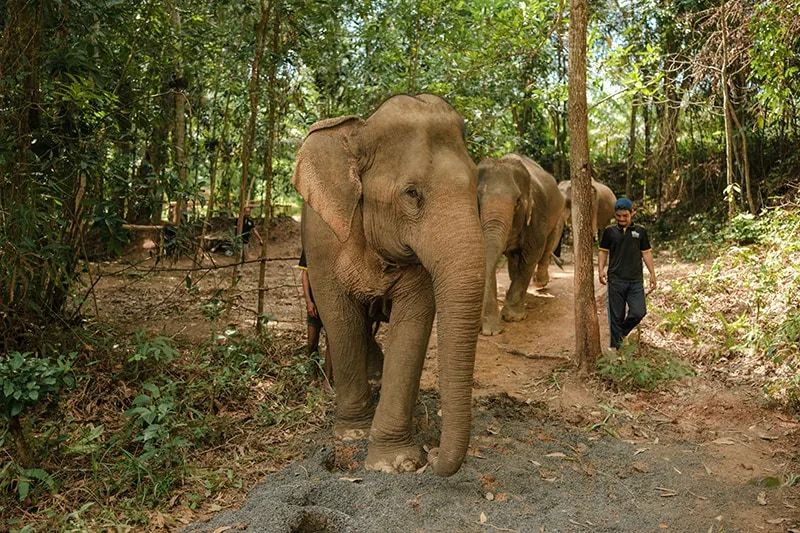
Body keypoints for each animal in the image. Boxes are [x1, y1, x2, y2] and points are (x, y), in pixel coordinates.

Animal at [292, 94, 485, 477]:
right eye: (412, 194)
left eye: (475, 187)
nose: (434, 453)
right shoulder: (322, 239)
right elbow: (339, 315)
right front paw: (353, 433)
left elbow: (413, 321)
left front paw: (398, 462)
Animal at [478, 154, 565, 336]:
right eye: (478, 198)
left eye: (517, 202)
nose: (487, 330)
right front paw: (490, 328)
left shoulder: (537, 215)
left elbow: (531, 255)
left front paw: (513, 317)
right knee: (514, 258)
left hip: (557, 216)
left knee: (547, 248)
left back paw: (540, 282)